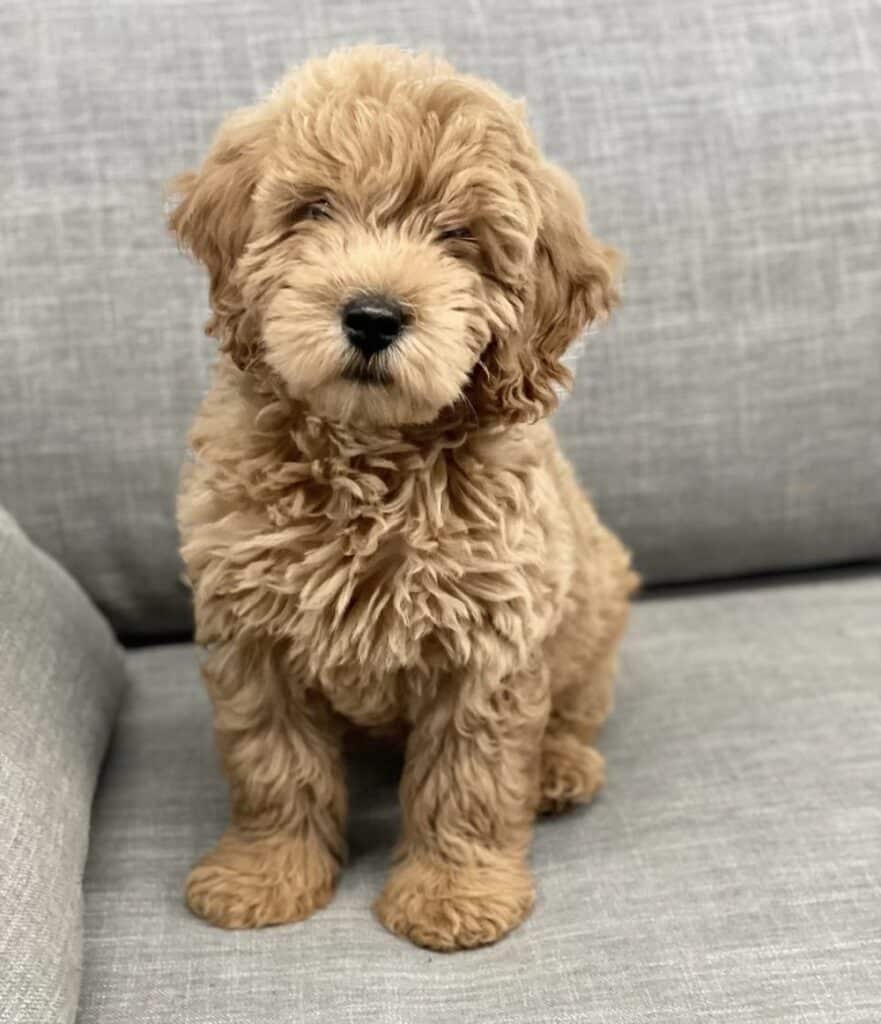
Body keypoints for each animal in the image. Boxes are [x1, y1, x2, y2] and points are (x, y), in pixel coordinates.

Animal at [169, 44, 635, 946]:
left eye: (457, 237)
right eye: (314, 210)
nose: (373, 316)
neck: (369, 453)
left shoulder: (489, 638)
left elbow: (469, 777)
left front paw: (454, 892)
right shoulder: (251, 630)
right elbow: (271, 762)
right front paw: (265, 874)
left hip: (594, 602)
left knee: (574, 708)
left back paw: (557, 767)